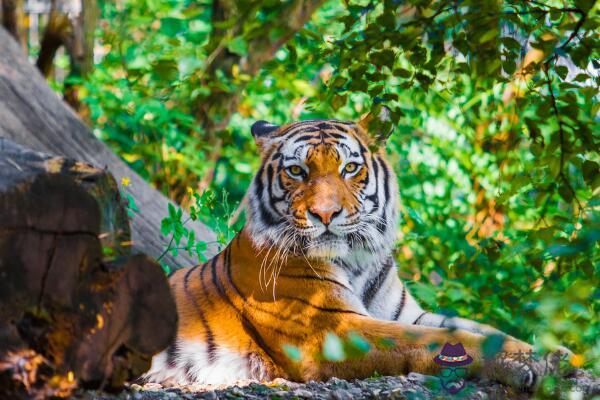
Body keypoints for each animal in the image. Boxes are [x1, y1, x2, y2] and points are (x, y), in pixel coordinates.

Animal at [143, 113, 568, 390]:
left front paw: (557, 356)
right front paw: (525, 364)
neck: (356, 260)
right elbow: (439, 341)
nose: (325, 214)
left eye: (349, 168)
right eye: (297, 171)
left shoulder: (404, 313)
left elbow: (479, 329)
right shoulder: (334, 328)